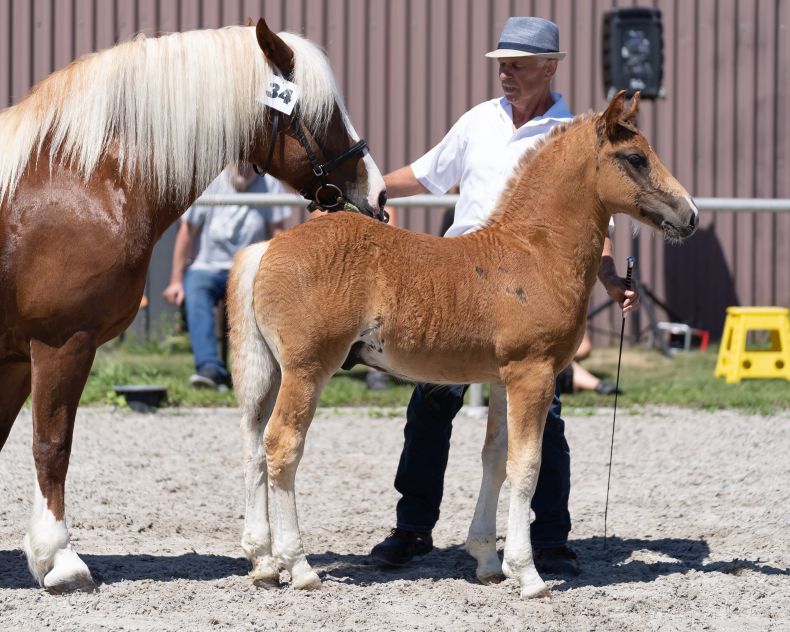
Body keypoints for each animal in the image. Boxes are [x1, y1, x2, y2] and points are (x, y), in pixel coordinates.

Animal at [229, 92, 700, 596]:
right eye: (635, 159)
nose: (690, 215)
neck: (535, 253)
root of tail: (268, 248)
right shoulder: (533, 374)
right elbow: (527, 465)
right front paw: (528, 574)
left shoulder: (502, 378)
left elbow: (495, 459)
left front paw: (488, 561)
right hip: (307, 370)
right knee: (282, 446)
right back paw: (298, 567)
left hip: (271, 372)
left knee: (253, 445)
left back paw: (262, 562)